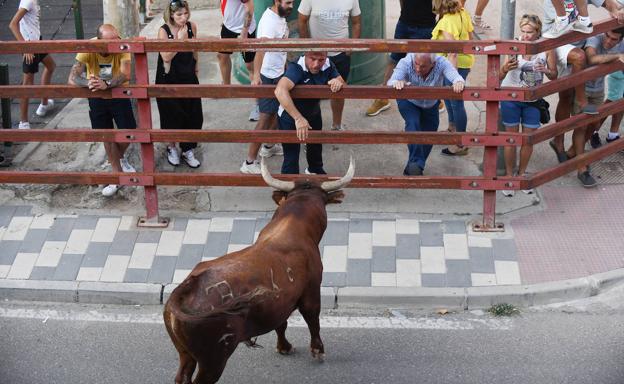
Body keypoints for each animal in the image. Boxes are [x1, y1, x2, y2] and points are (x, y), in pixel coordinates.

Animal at [163, 158, 354, 382]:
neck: (294, 226)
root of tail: (185, 289)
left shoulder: (280, 302)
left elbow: (281, 324)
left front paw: (284, 347)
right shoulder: (312, 292)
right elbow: (313, 321)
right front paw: (318, 351)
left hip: (185, 353)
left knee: (181, 375)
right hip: (213, 360)